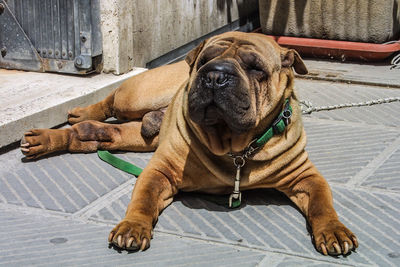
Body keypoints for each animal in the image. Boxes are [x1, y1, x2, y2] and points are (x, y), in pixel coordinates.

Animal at [21, 31, 360, 258]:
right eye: (205, 61)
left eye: (256, 68)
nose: (216, 75)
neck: (236, 147)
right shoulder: (160, 171)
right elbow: (142, 200)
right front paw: (132, 227)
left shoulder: (306, 177)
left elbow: (322, 203)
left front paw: (334, 230)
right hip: (136, 98)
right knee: (110, 102)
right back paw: (78, 114)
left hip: (139, 136)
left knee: (95, 134)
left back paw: (51, 138)